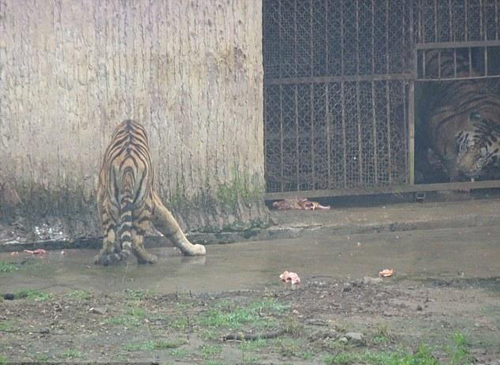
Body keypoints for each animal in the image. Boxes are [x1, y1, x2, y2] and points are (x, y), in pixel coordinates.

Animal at [94, 119, 206, 264]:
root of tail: (128, 167)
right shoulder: (154, 202)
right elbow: (172, 225)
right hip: (142, 205)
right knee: (134, 241)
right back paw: (149, 258)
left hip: (114, 205)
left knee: (112, 239)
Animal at [416, 49, 500, 182]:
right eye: (467, 147)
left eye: (481, 157)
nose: (462, 169)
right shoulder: (439, 121)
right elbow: (448, 154)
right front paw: (458, 177)